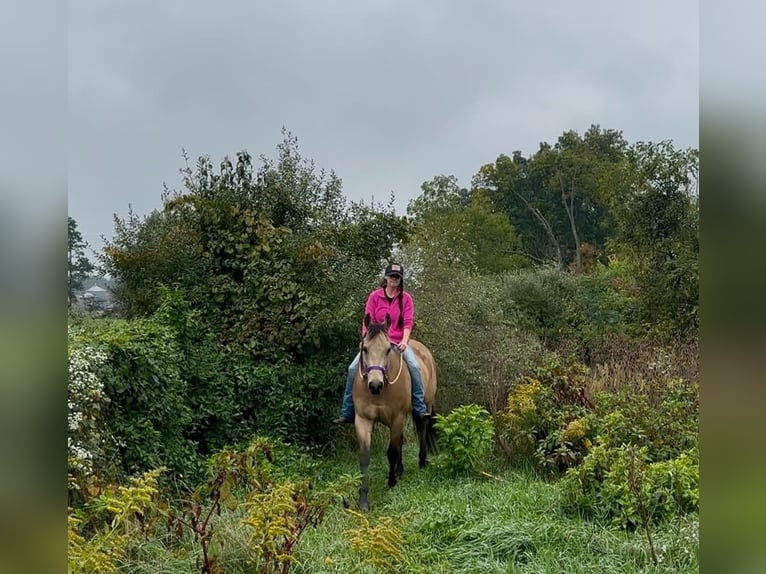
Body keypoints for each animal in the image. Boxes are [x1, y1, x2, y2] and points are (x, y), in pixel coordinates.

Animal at [352, 312, 438, 511]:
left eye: (387, 350)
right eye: (365, 349)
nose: (375, 385)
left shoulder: (397, 417)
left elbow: (391, 451)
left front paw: (391, 482)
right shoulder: (363, 420)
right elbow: (365, 457)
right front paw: (363, 500)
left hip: (425, 406)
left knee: (422, 429)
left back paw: (422, 461)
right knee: (401, 440)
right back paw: (400, 469)